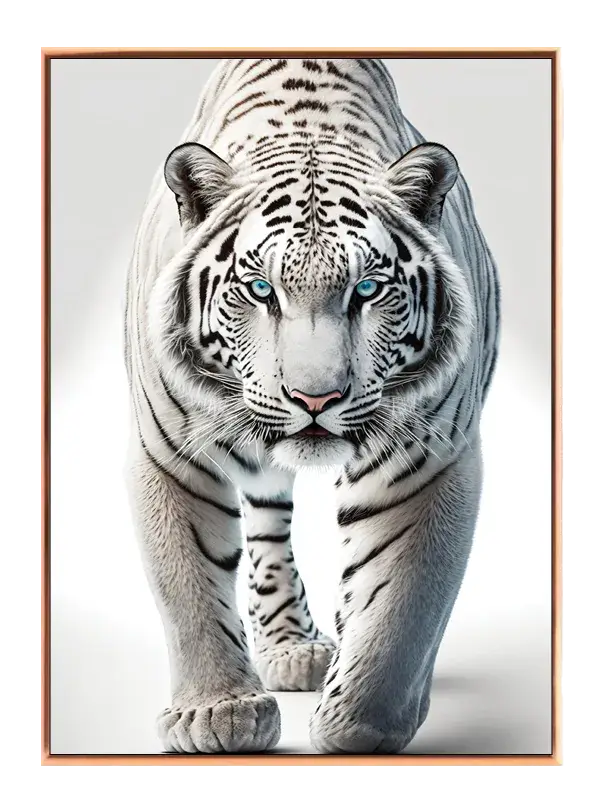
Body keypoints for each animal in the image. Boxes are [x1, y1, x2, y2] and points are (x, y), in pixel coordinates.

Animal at [124, 57, 500, 755]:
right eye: (259, 289)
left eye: (368, 289)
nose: (316, 397)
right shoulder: (170, 455)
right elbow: (187, 584)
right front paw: (215, 713)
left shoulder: (430, 460)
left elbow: (403, 604)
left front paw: (361, 723)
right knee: (268, 522)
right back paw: (292, 647)